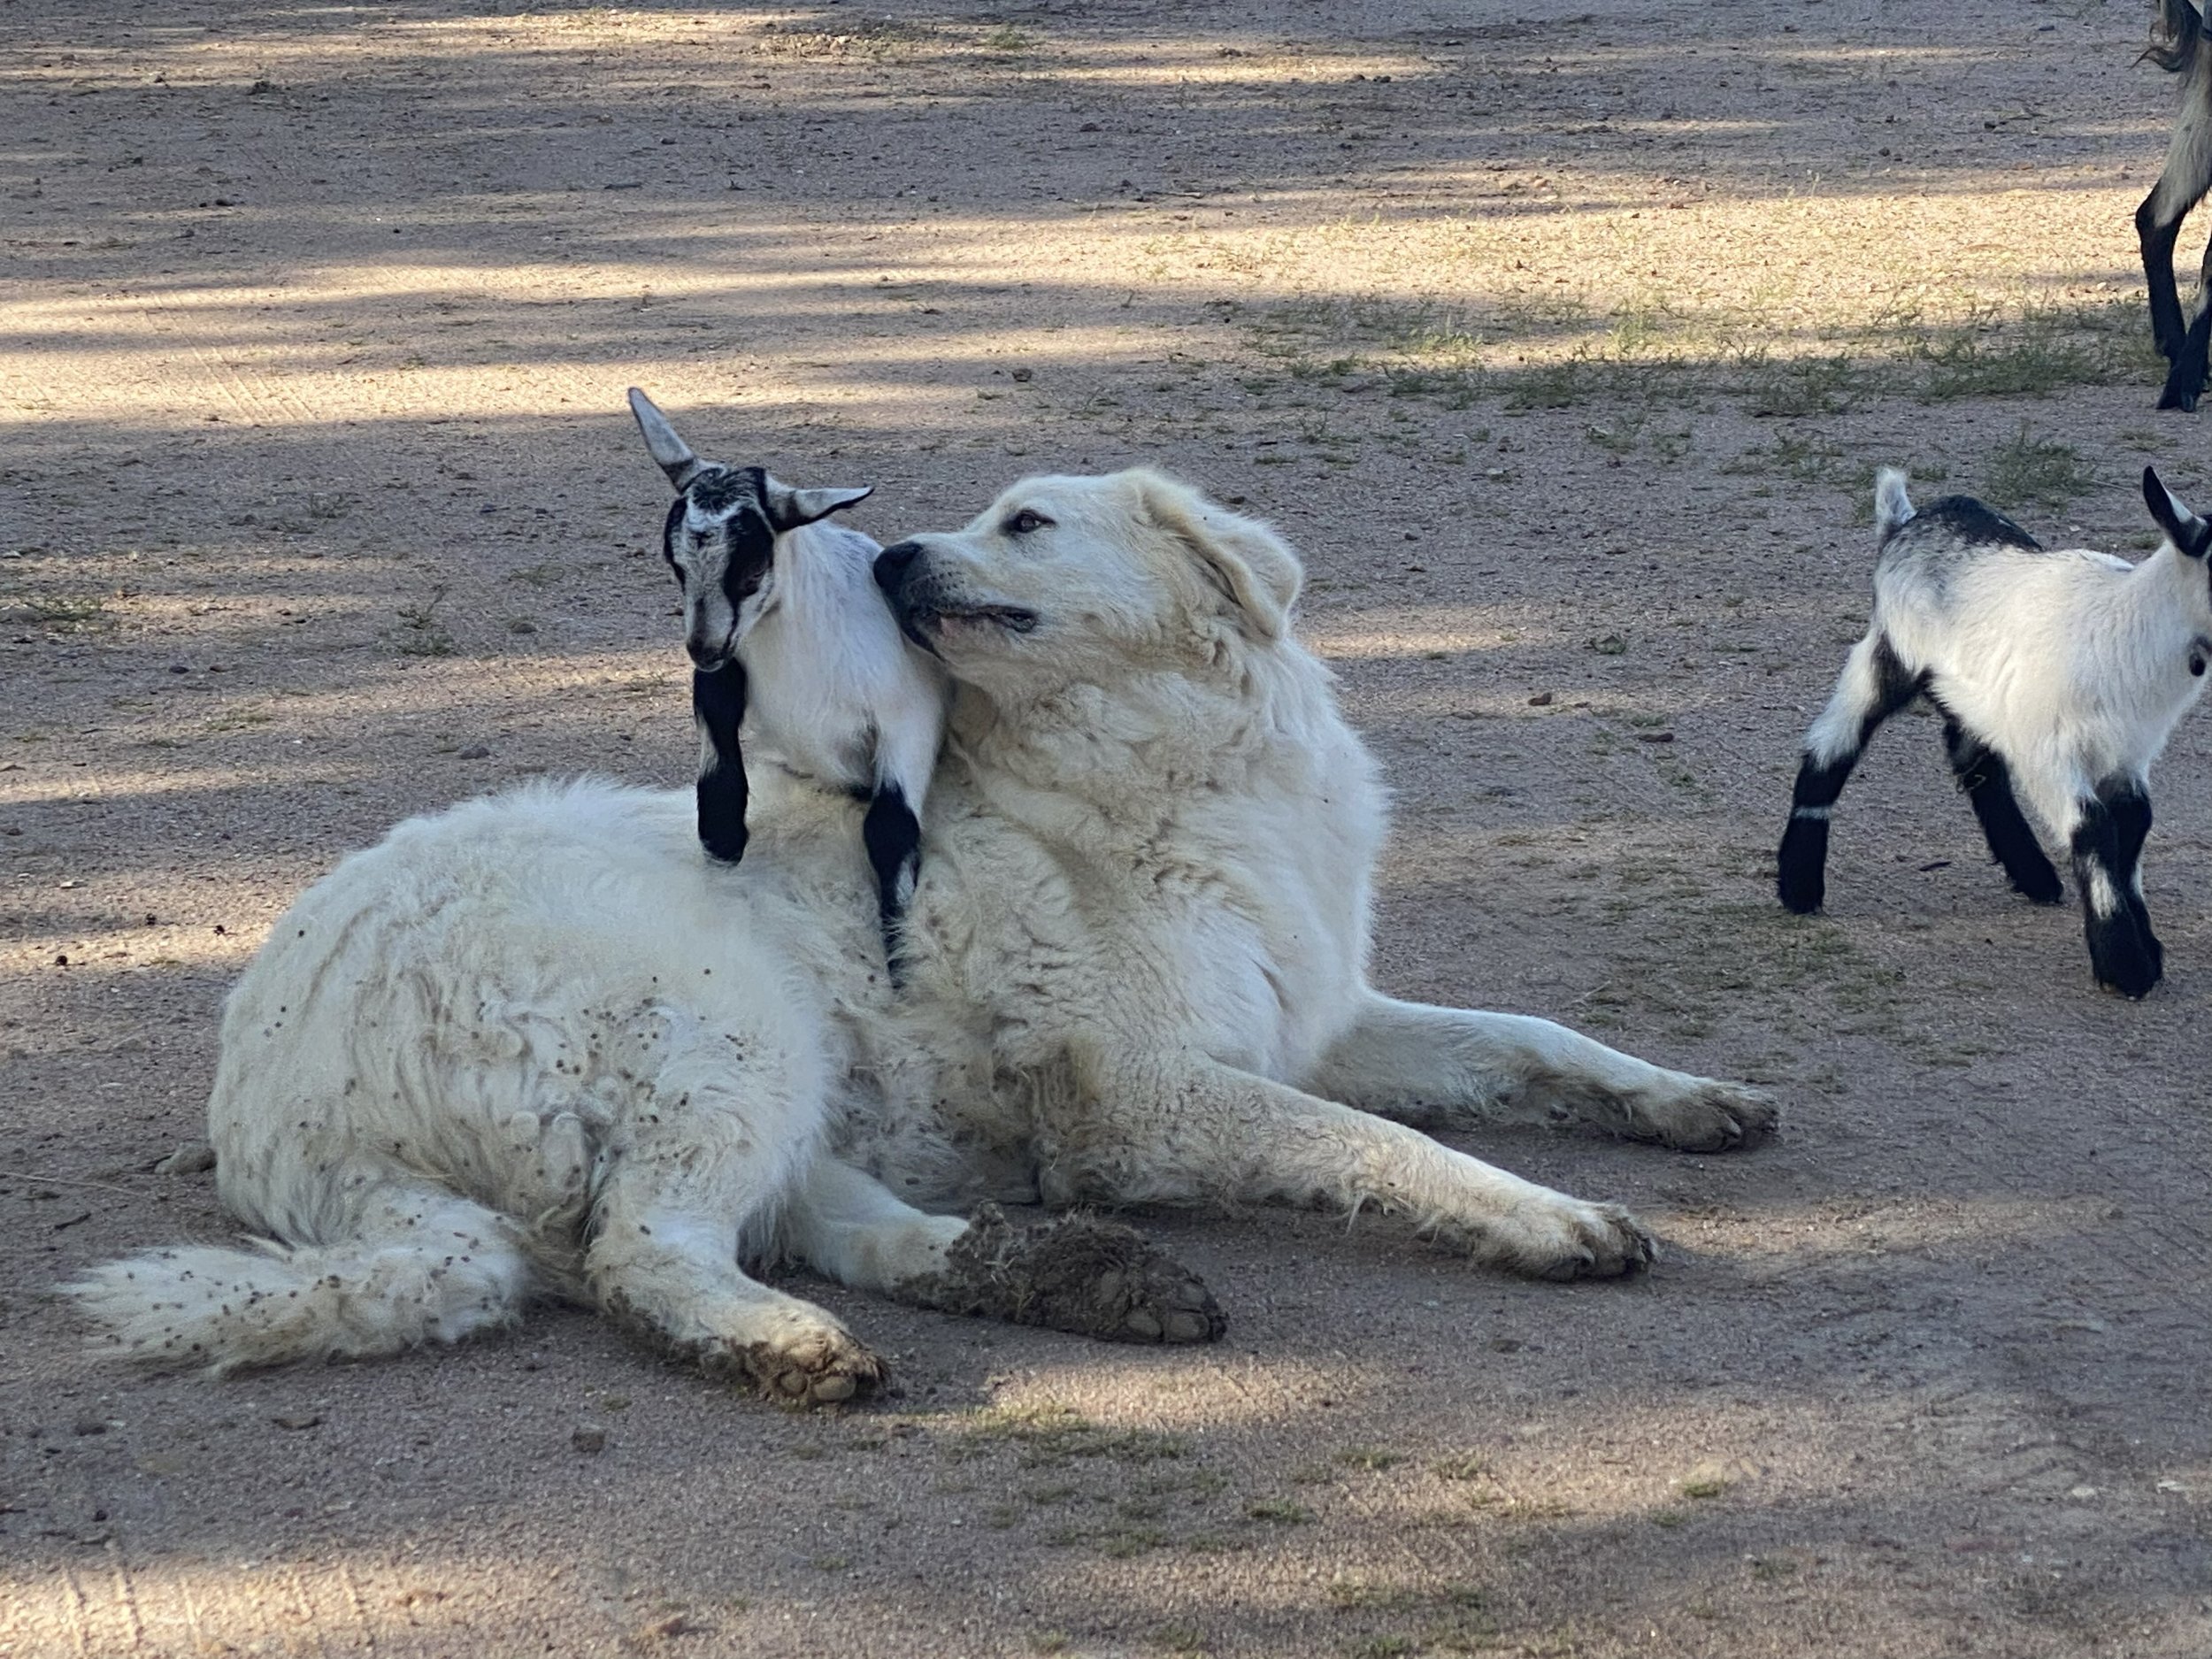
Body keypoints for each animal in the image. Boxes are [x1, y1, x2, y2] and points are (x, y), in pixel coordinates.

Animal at [628, 388, 947, 972]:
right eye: (676, 565)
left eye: (752, 569)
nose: (703, 648)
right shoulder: (720, 691)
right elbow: (720, 813)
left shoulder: (908, 721)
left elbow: (891, 830)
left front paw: (902, 973)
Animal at [1777, 465, 2212, 998]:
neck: (2128, 627)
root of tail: (1906, 522)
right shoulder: (2049, 752)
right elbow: (2093, 828)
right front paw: (2125, 965)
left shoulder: (2129, 753)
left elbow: (2133, 826)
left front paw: (2144, 948)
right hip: (1887, 654)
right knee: (1831, 745)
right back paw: (1799, 889)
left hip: (1976, 694)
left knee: (1970, 756)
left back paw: (2035, 876)